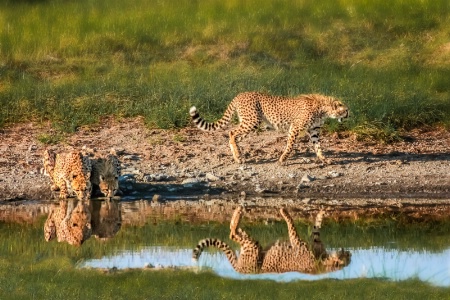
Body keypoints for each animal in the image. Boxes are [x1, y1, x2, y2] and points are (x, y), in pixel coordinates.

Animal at [189, 91, 348, 164]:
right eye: (345, 110)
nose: (349, 115)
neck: (324, 109)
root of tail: (241, 94)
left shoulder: (313, 131)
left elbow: (318, 146)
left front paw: (324, 159)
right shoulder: (295, 127)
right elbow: (290, 145)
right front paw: (283, 158)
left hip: (250, 123)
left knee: (234, 136)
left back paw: (238, 156)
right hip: (252, 121)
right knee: (232, 132)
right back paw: (238, 156)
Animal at [192, 206, 350, 274]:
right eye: (347, 256)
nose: (348, 251)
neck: (324, 261)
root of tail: (241, 270)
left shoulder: (297, 242)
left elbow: (291, 226)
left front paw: (284, 212)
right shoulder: (314, 243)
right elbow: (316, 230)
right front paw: (323, 211)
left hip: (253, 248)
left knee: (233, 234)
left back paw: (238, 212)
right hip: (254, 245)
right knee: (236, 232)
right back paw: (238, 212)